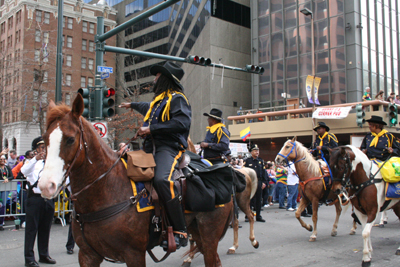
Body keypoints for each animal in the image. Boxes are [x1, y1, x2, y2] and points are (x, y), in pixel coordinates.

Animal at [37, 96, 234, 267]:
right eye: (45, 139)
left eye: (70, 139)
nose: (46, 185)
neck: (106, 189)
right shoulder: (88, 255)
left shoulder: (134, 254)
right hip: (196, 232)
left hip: (209, 235)